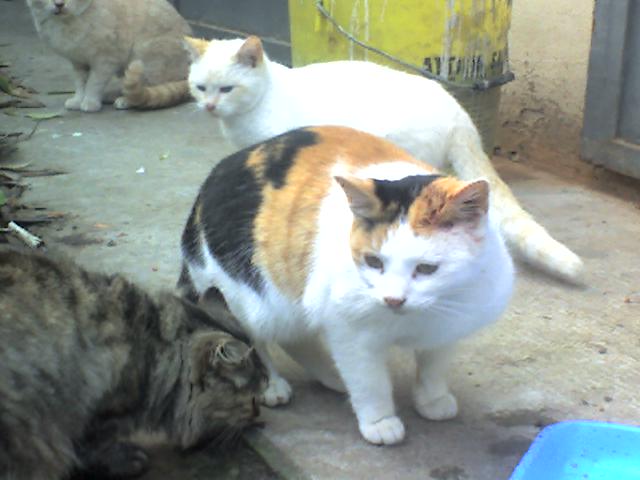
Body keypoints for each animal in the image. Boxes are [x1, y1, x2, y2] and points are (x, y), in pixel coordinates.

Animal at [0, 248, 266, 480]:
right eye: (253, 400)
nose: (259, 415)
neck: (150, 348)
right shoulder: (96, 409)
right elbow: (91, 444)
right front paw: (124, 460)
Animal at [26, 0, 193, 112]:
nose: (59, 4)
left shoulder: (105, 60)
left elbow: (94, 83)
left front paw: (90, 102)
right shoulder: (78, 62)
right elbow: (80, 84)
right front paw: (78, 100)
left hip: (145, 57)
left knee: (147, 90)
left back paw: (125, 100)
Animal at [177, 126, 515, 445]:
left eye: (426, 268)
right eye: (374, 262)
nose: (393, 300)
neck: (418, 318)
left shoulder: (448, 327)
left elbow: (434, 365)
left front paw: (432, 399)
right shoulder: (349, 332)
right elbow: (369, 382)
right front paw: (380, 422)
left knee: (294, 336)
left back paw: (332, 376)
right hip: (245, 297)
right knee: (255, 337)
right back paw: (272, 385)